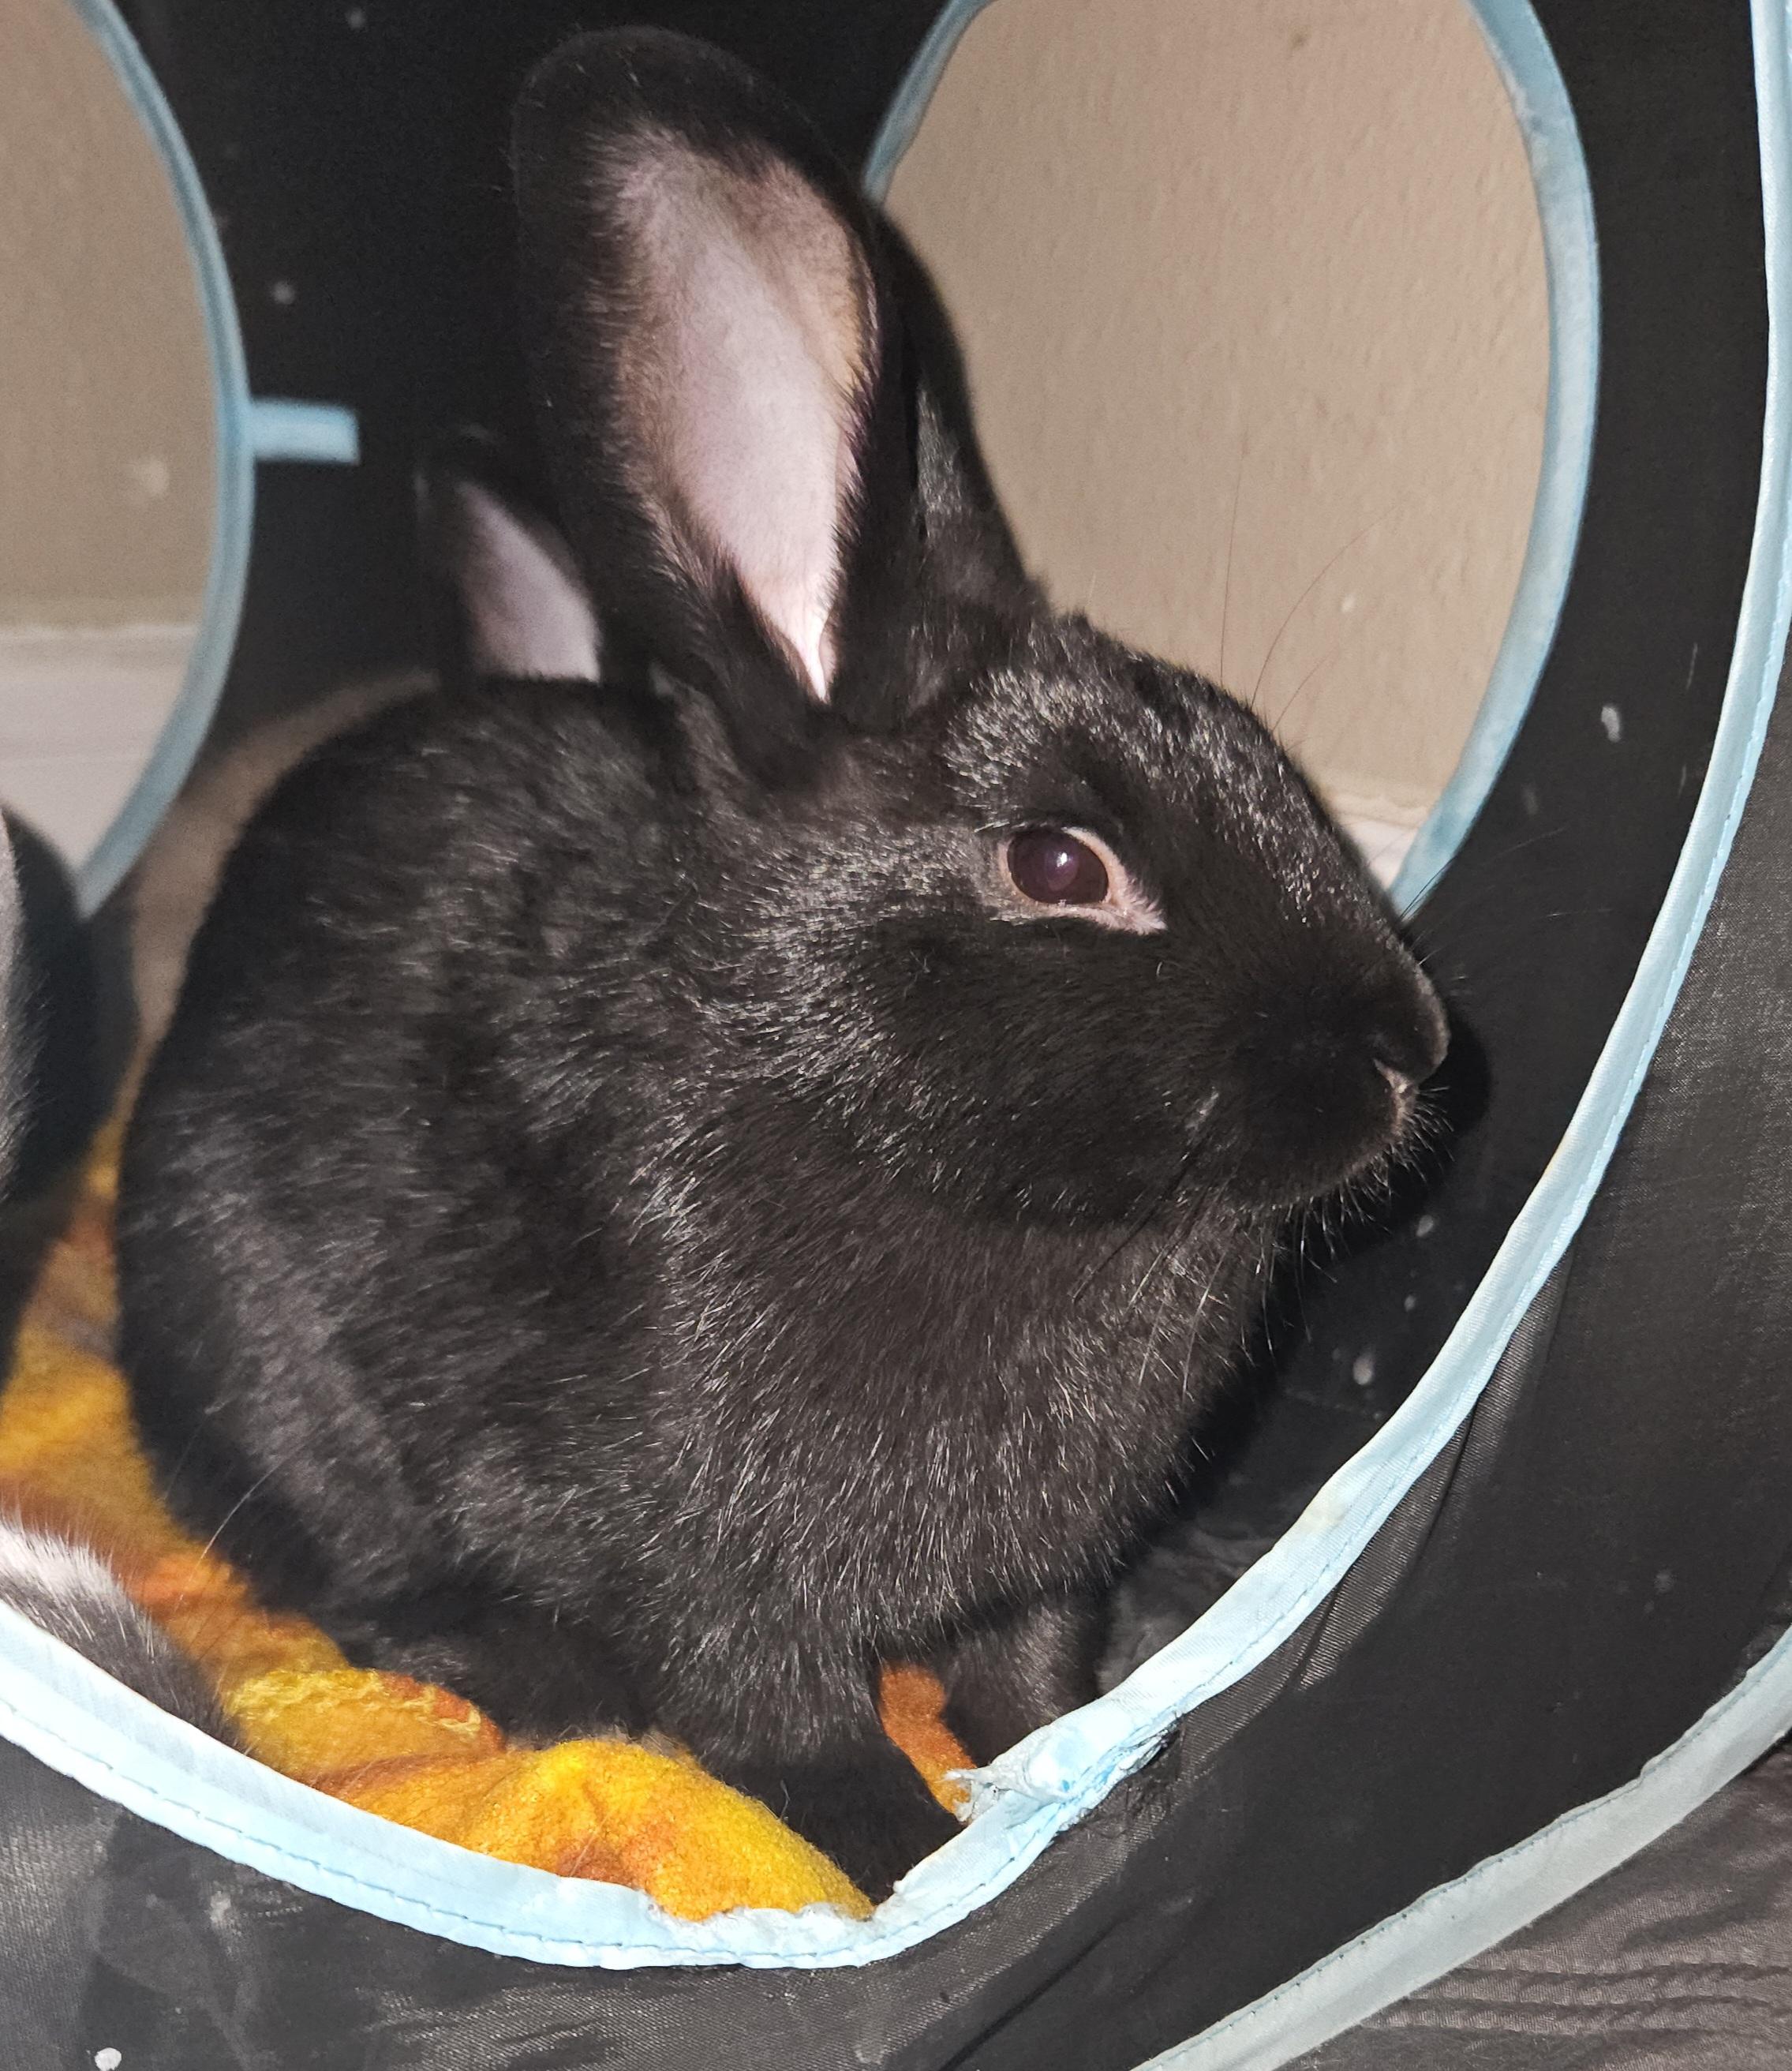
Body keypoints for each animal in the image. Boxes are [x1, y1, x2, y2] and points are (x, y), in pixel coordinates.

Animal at [116, 27, 1446, 1899]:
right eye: (1059, 864)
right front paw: (911, 1860)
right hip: (247, 1329)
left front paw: (1070, 1760)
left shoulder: (1042, 1573)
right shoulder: (696, 1561)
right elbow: (786, 1722)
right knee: (346, 1569)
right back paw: (526, 1667)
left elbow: (1024, 1665)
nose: (1411, 1048)